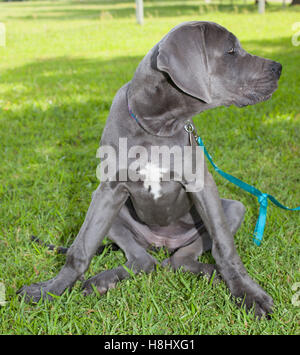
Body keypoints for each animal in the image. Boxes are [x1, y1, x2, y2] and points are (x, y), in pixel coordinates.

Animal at [18, 21, 282, 320]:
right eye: (230, 51)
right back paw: (102, 281)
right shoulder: (108, 190)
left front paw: (248, 293)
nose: (279, 68)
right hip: (114, 214)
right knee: (143, 261)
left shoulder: (201, 185)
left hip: (234, 208)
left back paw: (211, 274)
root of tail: (161, 243)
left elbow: (225, 246)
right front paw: (49, 289)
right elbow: (80, 248)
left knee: (180, 259)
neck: (158, 125)